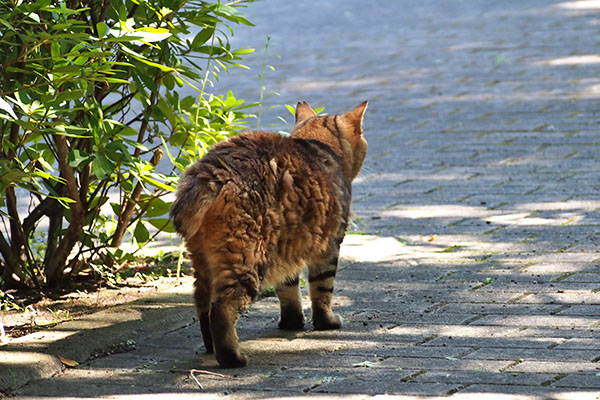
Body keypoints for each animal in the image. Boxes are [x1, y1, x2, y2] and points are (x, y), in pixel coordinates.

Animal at [168, 101, 366, 368]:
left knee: (203, 307)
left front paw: (292, 323)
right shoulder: (330, 245)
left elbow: (289, 291)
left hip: (204, 263)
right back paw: (232, 358)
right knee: (222, 310)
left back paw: (211, 348)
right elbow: (322, 289)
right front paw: (326, 323)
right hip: (247, 259)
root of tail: (211, 173)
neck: (317, 143)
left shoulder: (288, 247)